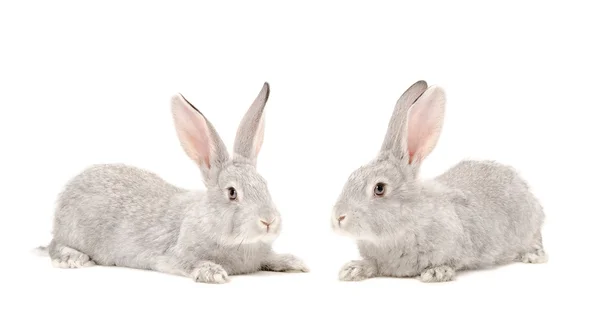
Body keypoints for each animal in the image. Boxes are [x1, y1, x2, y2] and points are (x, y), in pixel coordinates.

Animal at [41, 83, 310, 284]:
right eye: (232, 192)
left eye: (265, 184)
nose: (268, 221)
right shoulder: (175, 256)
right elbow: (189, 263)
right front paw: (212, 272)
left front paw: (294, 262)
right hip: (71, 232)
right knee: (55, 246)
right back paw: (72, 258)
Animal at [330, 80, 548, 282]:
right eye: (351, 177)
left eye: (379, 188)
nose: (338, 218)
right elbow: (371, 264)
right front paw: (352, 269)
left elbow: (450, 261)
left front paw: (436, 272)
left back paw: (534, 255)